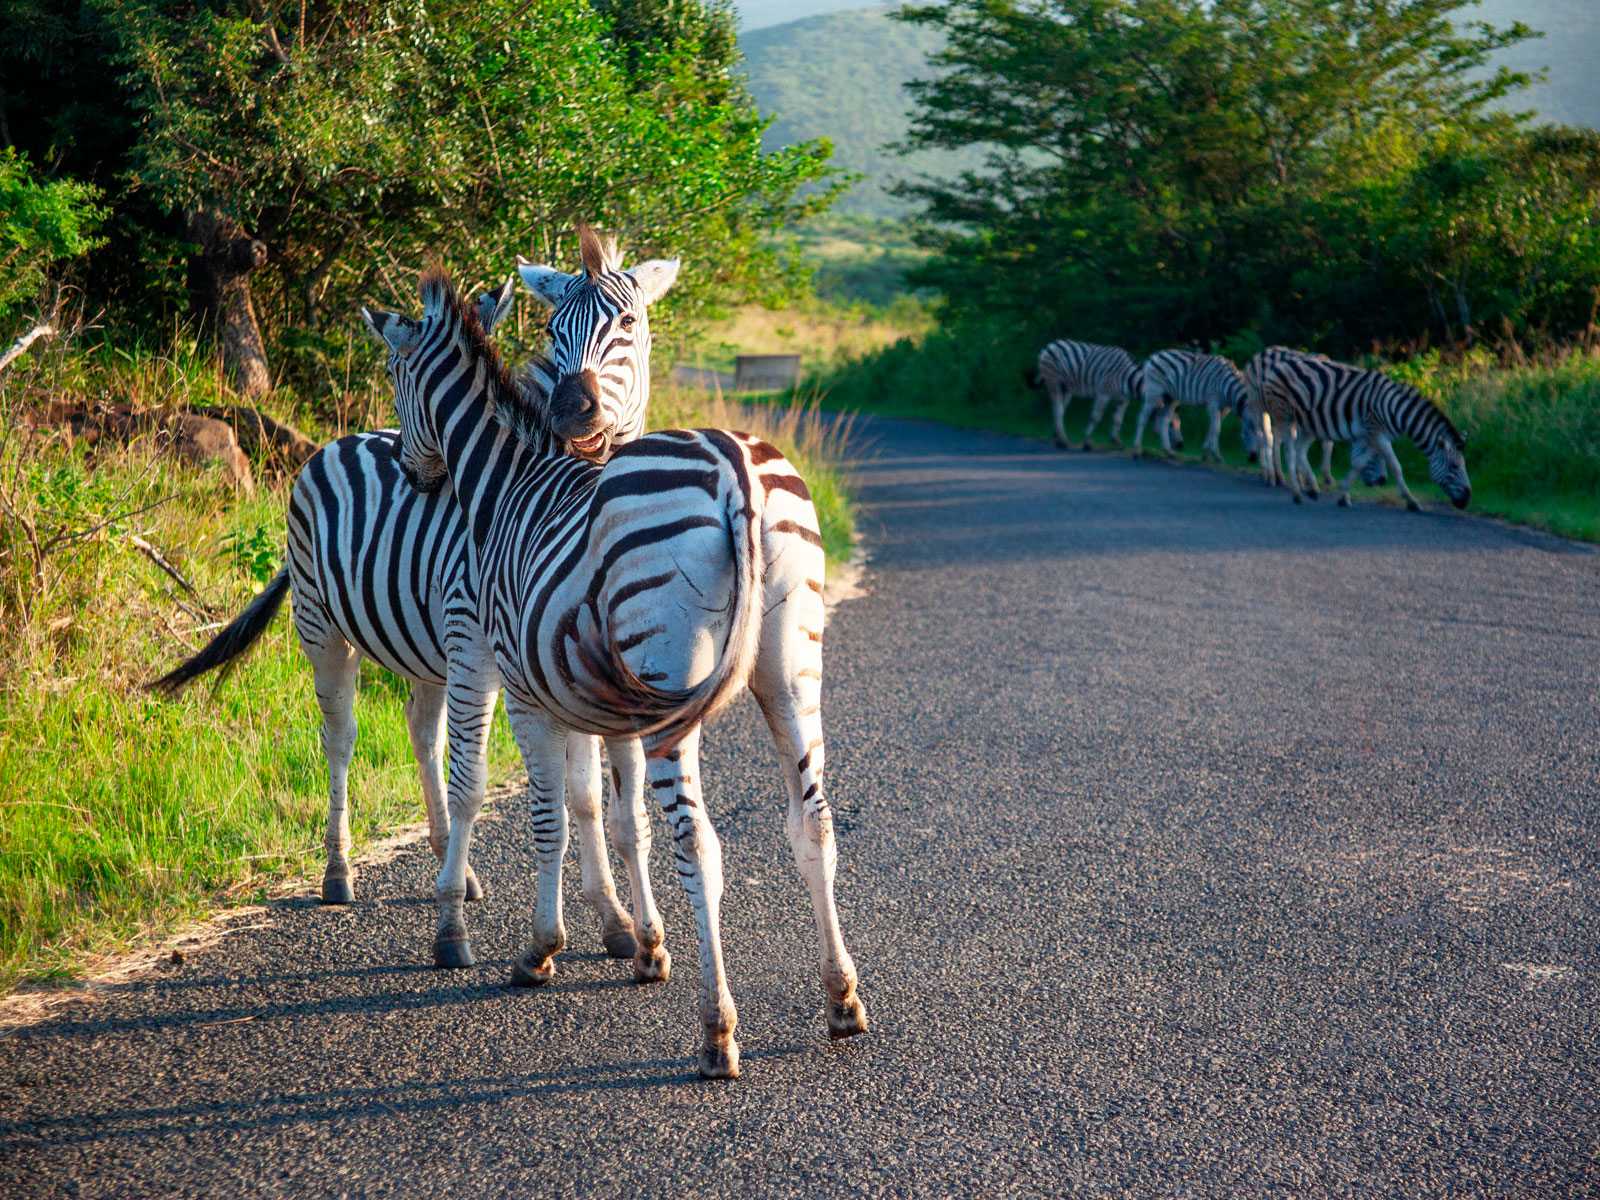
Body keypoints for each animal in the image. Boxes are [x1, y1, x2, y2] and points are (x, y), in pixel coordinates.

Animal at [147, 227, 672, 985]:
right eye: (554, 330)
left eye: (629, 323)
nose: (579, 415)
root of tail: (339, 441)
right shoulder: (489, 655)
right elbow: (492, 785)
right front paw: (459, 934)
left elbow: (589, 796)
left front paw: (618, 925)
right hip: (323, 628)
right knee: (340, 738)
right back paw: (340, 873)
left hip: (431, 651)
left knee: (421, 731)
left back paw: (453, 863)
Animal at [366, 267, 864, 1088]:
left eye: (396, 382)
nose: (414, 473)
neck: (505, 484)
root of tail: (737, 471)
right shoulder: (590, 698)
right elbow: (605, 811)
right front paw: (639, 943)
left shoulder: (527, 693)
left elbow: (550, 819)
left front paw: (540, 951)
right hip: (790, 670)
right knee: (813, 821)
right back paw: (842, 999)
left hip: (673, 687)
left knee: (701, 844)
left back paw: (717, 1032)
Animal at [1030, 340, 1171, 454]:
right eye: (1170, 423)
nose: (1177, 446)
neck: (1128, 378)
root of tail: (1049, 345)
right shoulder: (1103, 394)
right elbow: (1095, 418)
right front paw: (1087, 443)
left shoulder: (1123, 400)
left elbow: (1117, 420)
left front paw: (1118, 443)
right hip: (1054, 382)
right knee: (1058, 410)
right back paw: (1063, 441)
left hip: (1066, 387)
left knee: (1058, 408)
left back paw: (1058, 438)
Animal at [1254, 355, 1465, 508]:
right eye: (1455, 467)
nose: (1467, 499)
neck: (1394, 409)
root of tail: (1278, 366)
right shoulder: (1376, 432)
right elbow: (1396, 466)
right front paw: (1412, 501)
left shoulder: (1372, 435)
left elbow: (1358, 463)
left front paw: (1343, 496)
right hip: (1284, 415)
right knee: (1289, 451)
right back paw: (1297, 492)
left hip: (1308, 424)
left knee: (1300, 451)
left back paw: (1312, 489)